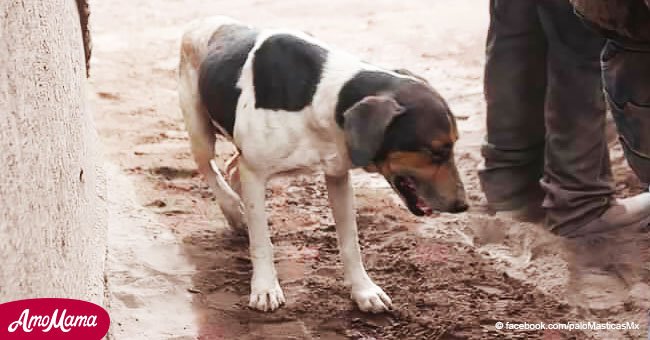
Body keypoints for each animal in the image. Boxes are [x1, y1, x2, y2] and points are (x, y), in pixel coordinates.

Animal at [178, 15, 466, 314]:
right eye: (436, 152)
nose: (463, 205)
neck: (321, 97)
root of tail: (210, 20)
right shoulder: (255, 173)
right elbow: (262, 242)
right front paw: (265, 288)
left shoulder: (338, 175)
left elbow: (350, 242)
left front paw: (363, 291)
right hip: (199, 129)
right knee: (209, 167)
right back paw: (234, 209)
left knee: (233, 167)